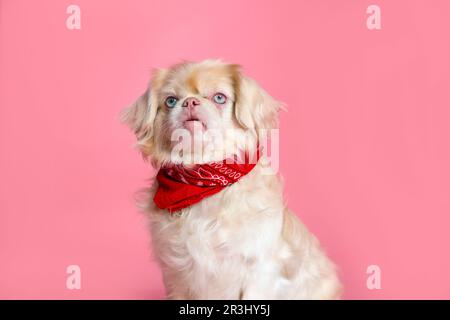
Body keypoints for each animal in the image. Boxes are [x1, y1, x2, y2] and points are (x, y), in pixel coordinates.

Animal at [122, 60, 342, 300]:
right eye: (170, 101)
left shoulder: (259, 271)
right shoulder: (176, 277)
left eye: (219, 98)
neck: (203, 180)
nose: (190, 101)